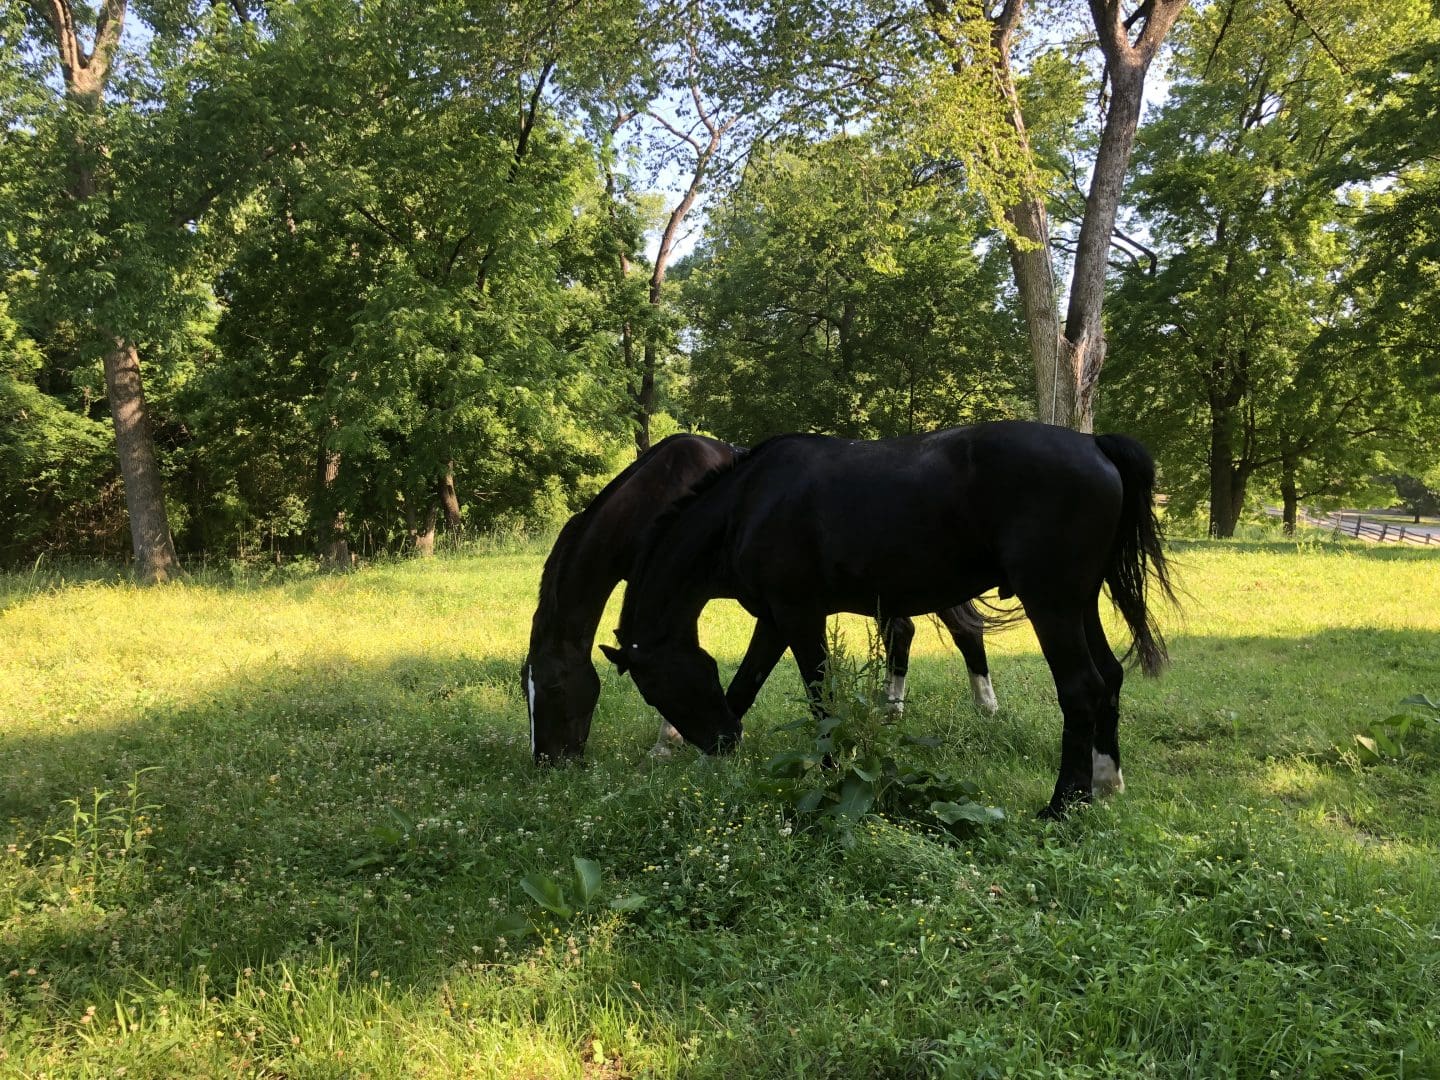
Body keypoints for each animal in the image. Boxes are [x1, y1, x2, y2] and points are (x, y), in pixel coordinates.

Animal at [524, 434, 996, 766]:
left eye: (552, 686)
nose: (547, 761)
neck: (658, 490)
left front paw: (667, 743)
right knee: (903, 631)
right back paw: (892, 711)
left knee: (963, 630)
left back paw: (985, 709)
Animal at [601, 423, 1175, 817]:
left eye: (654, 690)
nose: (722, 741)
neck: (747, 505)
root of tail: (1094, 444)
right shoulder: (775, 620)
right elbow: (745, 685)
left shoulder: (797, 615)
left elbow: (821, 698)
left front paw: (830, 771)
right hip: (1079, 603)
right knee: (1109, 678)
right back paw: (1106, 782)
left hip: (1051, 603)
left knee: (1081, 687)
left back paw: (1062, 805)